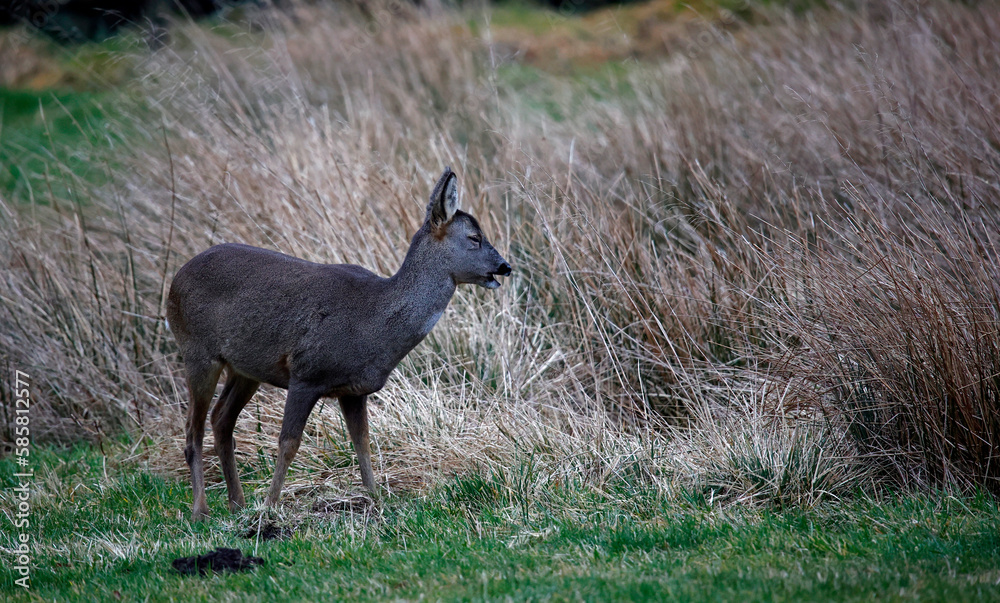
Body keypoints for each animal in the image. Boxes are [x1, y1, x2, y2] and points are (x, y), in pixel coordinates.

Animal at [166, 168, 511, 520]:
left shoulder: (354, 390)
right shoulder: (305, 373)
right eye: (474, 237)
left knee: (221, 419)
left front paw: (375, 500)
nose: (504, 267)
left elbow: (363, 443)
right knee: (193, 431)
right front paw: (271, 507)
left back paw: (237, 503)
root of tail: (176, 277)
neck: (373, 323)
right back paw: (201, 511)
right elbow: (288, 443)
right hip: (196, 351)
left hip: (245, 369)